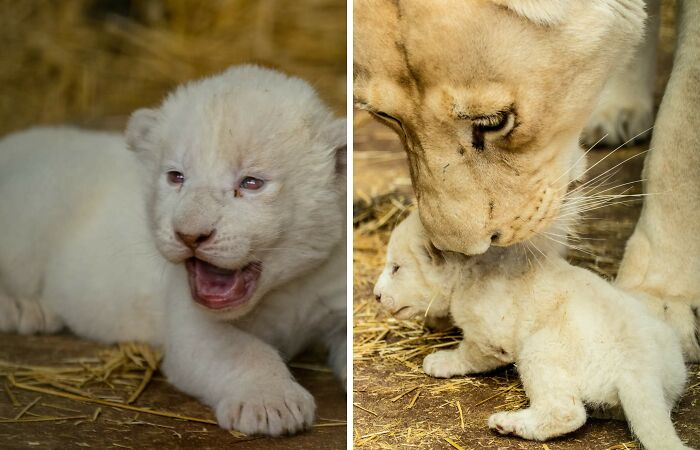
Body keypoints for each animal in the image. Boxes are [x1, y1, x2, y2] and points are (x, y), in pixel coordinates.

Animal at [0, 65, 347, 436]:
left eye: (251, 183)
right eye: (176, 176)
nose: (190, 235)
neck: (285, 289)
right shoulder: (191, 326)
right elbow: (244, 351)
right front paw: (272, 405)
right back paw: (24, 310)